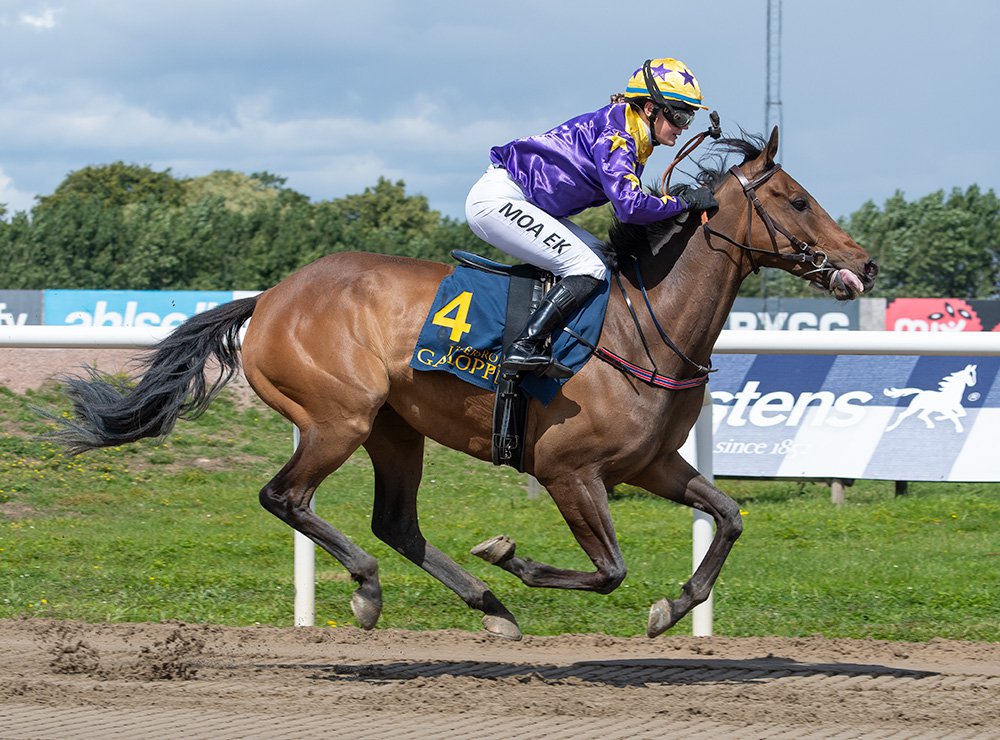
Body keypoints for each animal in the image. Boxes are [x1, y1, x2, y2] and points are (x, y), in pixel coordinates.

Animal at [54, 125, 876, 636]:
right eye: (797, 199)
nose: (863, 264)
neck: (641, 321)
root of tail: (272, 297)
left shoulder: (651, 464)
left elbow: (729, 515)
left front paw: (674, 609)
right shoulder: (567, 469)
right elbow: (608, 570)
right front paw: (510, 556)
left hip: (395, 428)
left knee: (395, 522)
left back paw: (487, 607)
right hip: (338, 418)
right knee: (285, 497)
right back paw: (370, 589)